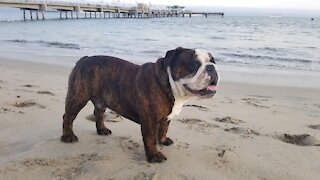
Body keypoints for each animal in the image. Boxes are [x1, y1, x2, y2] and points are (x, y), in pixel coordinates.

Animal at [61, 47, 219, 162]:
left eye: (213, 61)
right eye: (194, 65)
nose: (212, 67)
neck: (170, 85)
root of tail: (84, 59)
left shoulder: (166, 118)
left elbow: (164, 129)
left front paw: (163, 141)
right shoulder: (150, 120)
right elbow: (150, 139)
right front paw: (154, 155)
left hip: (101, 100)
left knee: (98, 113)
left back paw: (102, 130)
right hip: (78, 97)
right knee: (68, 117)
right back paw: (68, 136)